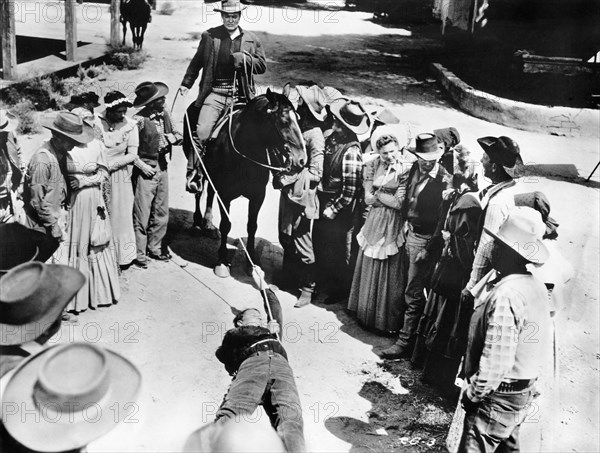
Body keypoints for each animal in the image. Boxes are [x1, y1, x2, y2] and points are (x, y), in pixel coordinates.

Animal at [182, 89, 304, 276]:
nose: (302, 159)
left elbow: (252, 226)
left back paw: (208, 224)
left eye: (297, 118)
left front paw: (252, 263)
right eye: (284, 121)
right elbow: (226, 225)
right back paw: (196, 223)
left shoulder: (257, 196)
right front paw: (222, 261)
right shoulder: (225, 195)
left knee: (209, 193)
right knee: (199, 192)